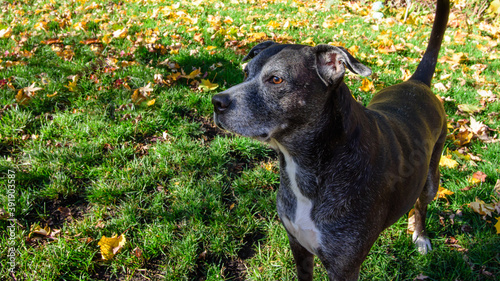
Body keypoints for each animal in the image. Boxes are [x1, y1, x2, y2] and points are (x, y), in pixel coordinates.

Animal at [211, 1, 450, 278]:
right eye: (245, 73)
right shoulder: (298, 246)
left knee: (422, 204)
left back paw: (420, 237)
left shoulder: (343, 267)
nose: (216, 102)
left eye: (276, 79)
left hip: (432, 177)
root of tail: (417, 83)